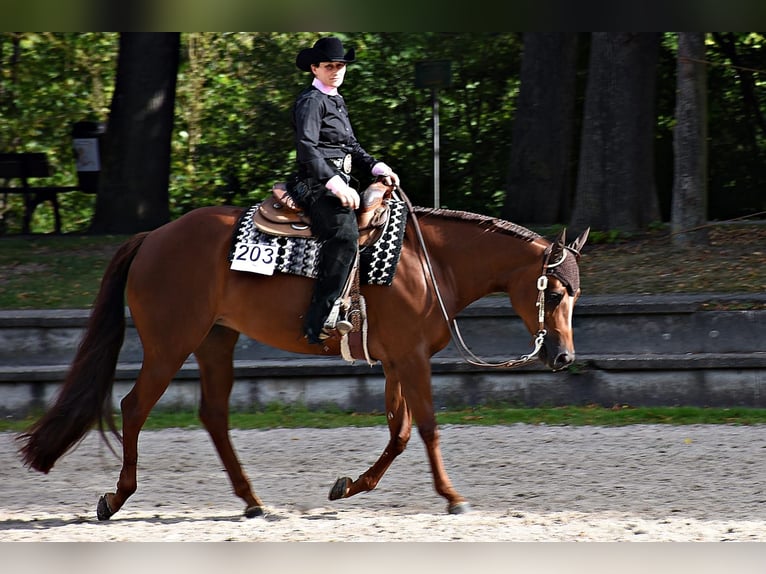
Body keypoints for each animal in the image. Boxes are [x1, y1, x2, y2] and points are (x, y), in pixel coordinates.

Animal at [18, 187, 592, 520]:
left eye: (576, 293)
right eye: (555, 294)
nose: (563, 358)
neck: (431, 262)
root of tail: (153, 237)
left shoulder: (396, 361)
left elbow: (400, 431)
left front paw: (350, 486)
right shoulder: (411, 359)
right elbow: (426, 426)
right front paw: (452, 497)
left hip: (214, 340)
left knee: (214, 414)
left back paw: (252, 502)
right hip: (170, 342)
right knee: (135, 407)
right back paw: (116, 498)